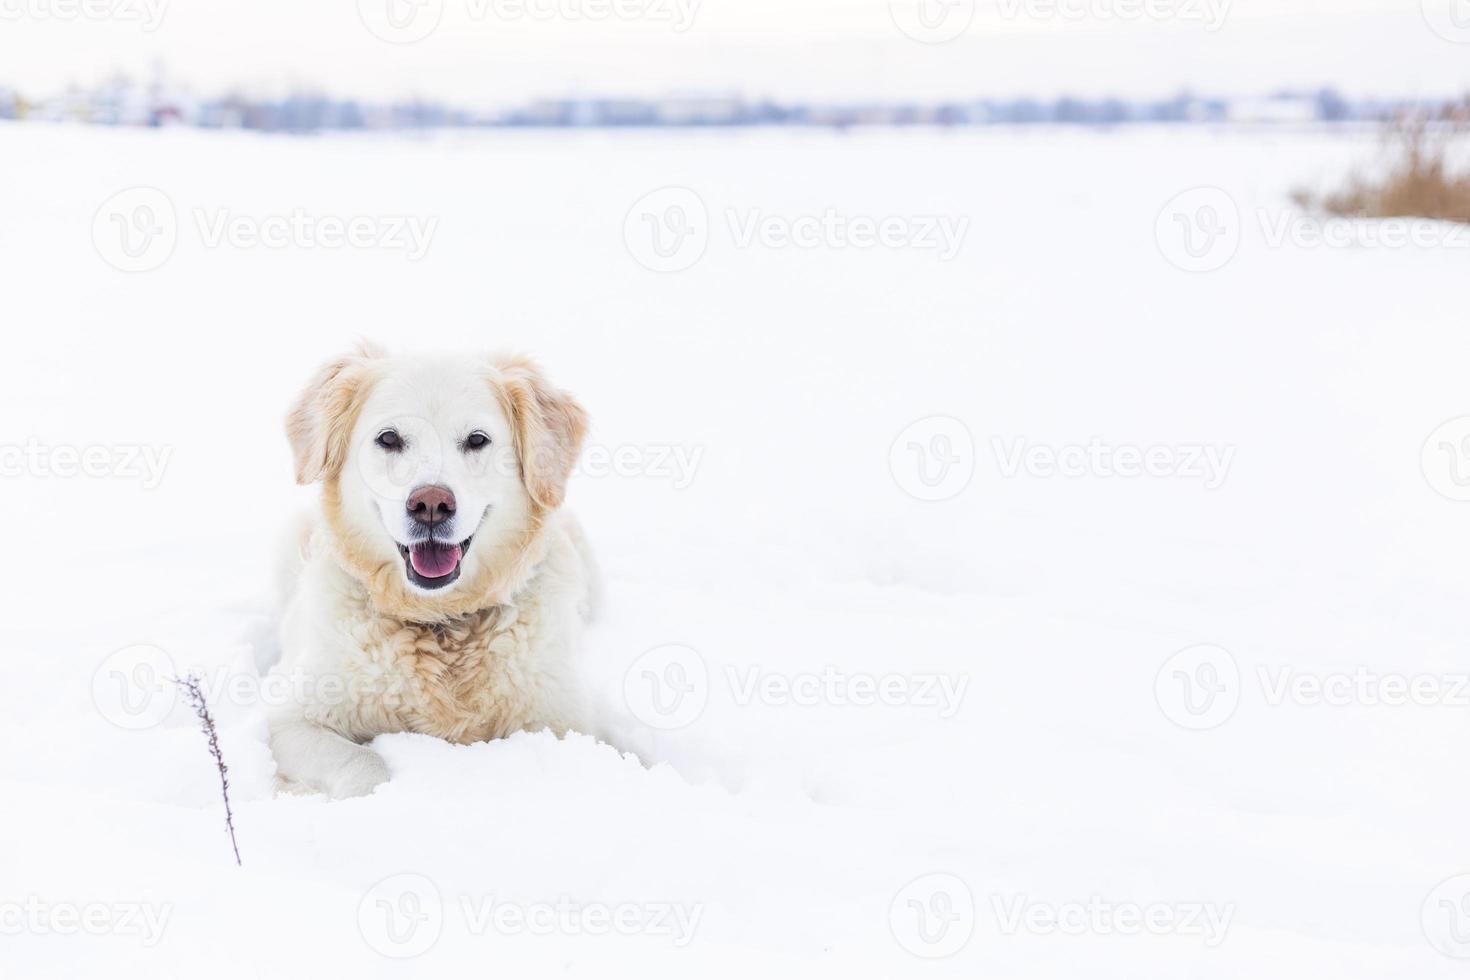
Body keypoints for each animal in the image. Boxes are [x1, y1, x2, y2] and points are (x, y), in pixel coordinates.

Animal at [267, 340, 593, 799]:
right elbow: (363, 761)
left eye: (477, 440)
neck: (441, 622)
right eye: (389, 438)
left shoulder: (566, 720)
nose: (432, 504)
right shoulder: (291, 719)